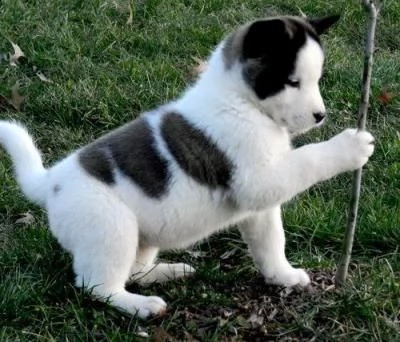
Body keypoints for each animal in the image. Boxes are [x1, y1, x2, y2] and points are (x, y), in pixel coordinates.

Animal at [0, 14, 376, 316]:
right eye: (292, 81)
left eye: (315, 80)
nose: (320, 116)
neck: (241, 101)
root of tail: (49, 182)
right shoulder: (259, 181)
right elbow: (310, 157)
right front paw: (350, 146)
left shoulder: (260, 208)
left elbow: (271, 243)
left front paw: (282, 276)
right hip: (112, 229)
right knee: (97, 287)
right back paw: (139, 306)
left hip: (138, 237)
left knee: (132, 271)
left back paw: (166, 272)